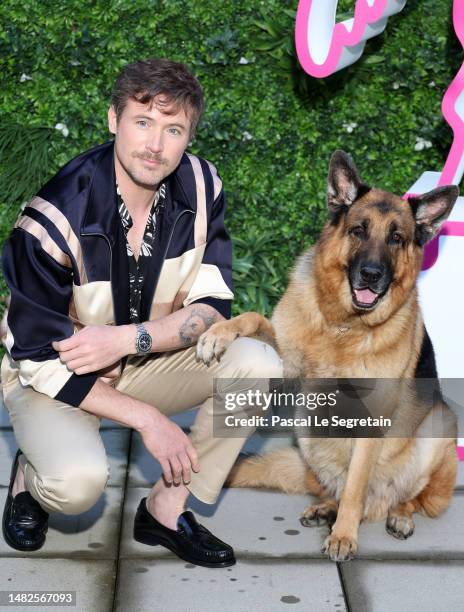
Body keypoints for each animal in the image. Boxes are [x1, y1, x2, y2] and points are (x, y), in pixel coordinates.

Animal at [195, 151, 456, 560]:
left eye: (397, 238)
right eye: (359, 230)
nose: (371, 275)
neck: (341, 326)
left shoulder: (371, 421)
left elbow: (354, 488)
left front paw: (344, 536)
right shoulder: (286, 365)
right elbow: (252, 317)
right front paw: (219, 333)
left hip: (440, 428)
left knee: (404, 498)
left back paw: (397, 515)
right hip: (308, 431)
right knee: (335, 488)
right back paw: (326, 509)